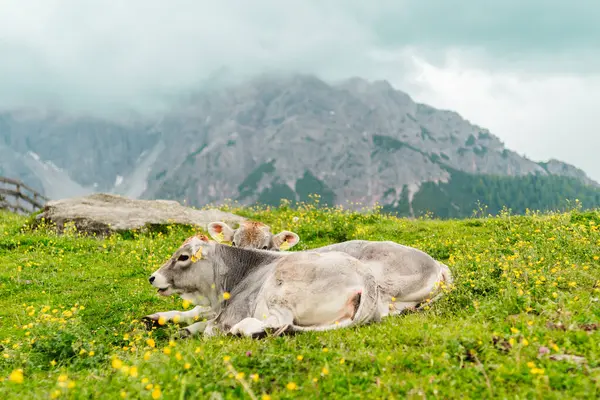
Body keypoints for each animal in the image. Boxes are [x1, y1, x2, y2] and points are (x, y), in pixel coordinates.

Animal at [145, 225, 452, 338]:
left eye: (183, 257)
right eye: (233, 241)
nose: (152, 277)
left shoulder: (229, 312)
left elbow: (206, 326)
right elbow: (195, 313)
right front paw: (159, 317)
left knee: (276, 323)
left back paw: (244, 330)